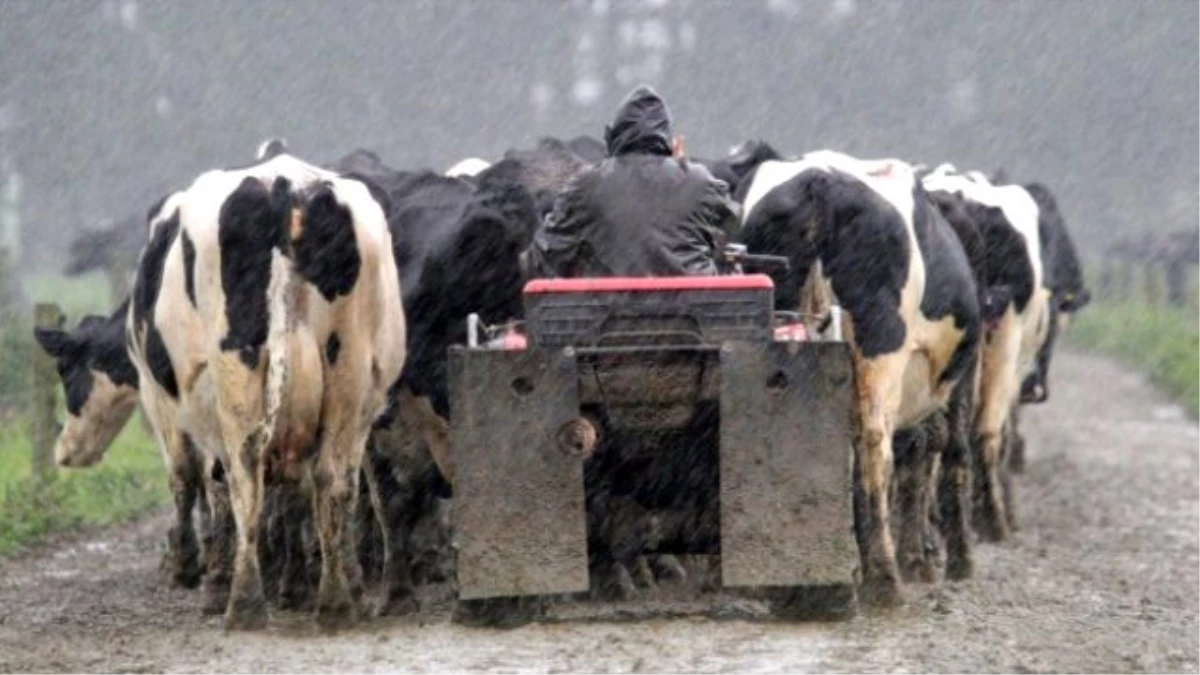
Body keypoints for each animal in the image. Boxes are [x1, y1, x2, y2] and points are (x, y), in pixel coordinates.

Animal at [729, 149, 984, 600]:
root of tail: (819, 181)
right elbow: (947, 450)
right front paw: (946, 559)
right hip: (881, 348)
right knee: (875, 445)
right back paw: (884, 579)